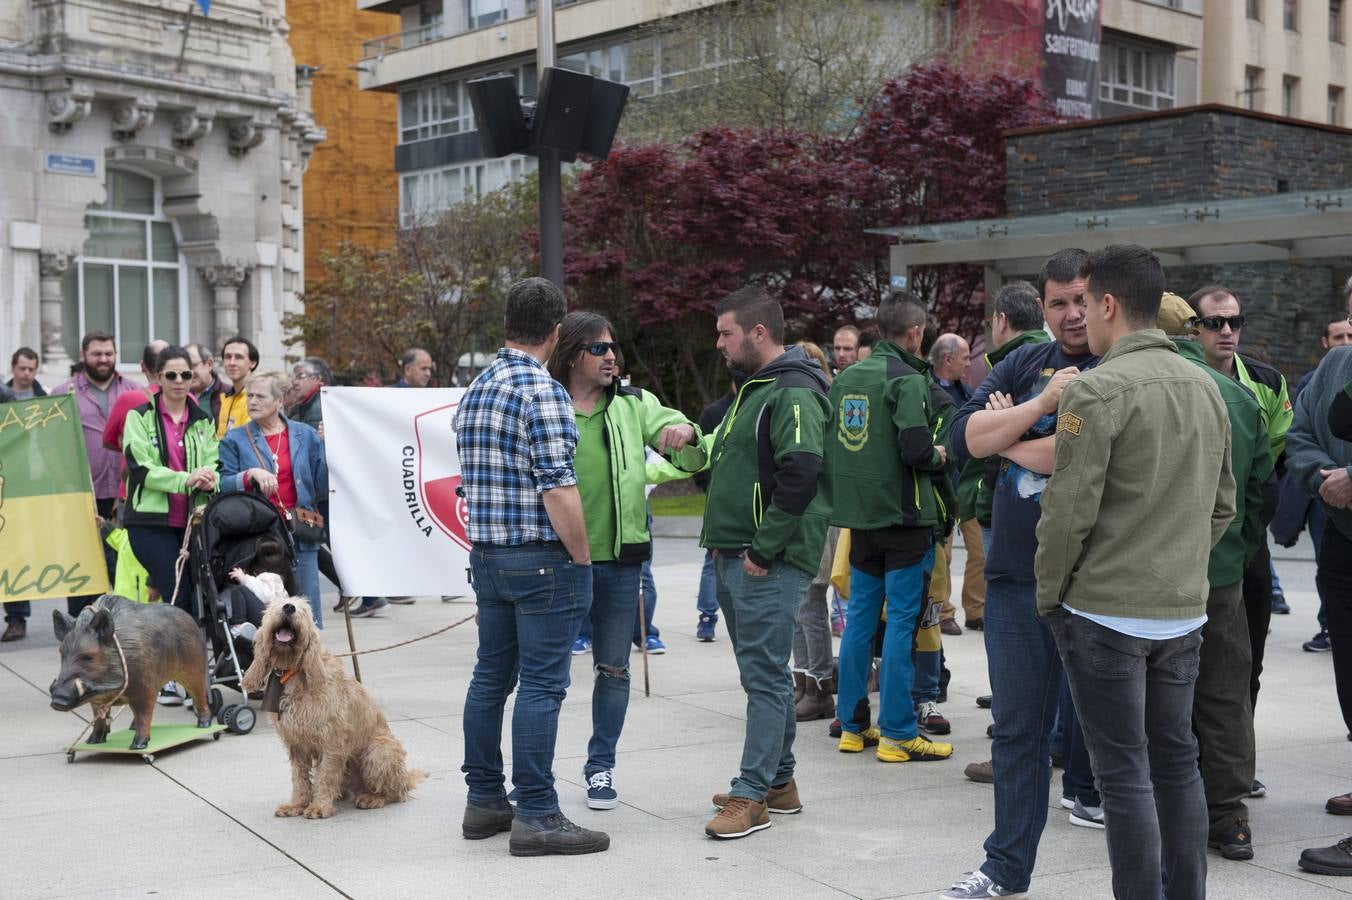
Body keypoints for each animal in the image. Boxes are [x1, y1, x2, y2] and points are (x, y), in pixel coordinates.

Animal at [240, 591, 424, 816]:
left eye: (304, 610)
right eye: (276, 605)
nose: (289, 608)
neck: (295, 671)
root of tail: (405, 779)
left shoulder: (332, 740)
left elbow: (325, 775)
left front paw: (319, 806)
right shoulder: (296, 743)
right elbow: (299, 778)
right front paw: (297, 804)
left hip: (378, 753)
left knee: (395, 793)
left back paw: (373, 798)